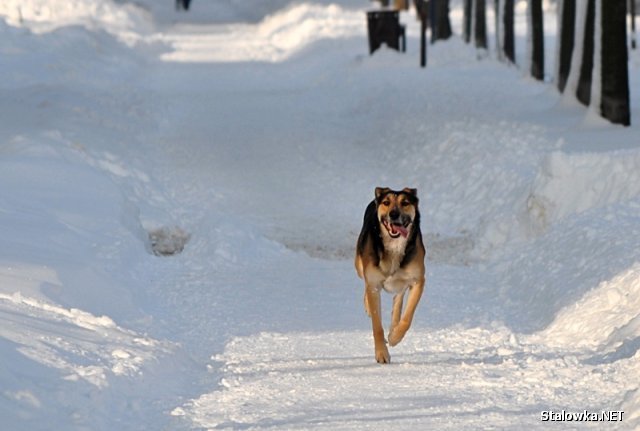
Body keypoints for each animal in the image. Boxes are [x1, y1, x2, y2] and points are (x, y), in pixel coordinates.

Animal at [356, 187, 424, 362]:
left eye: (405, 203)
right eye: (386, 203)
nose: (393, 214)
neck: (394, 247)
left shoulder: (418, 281)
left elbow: (406, 318)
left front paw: (394, 337)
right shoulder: (373, 283)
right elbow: (377, 325)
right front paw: (381, 353)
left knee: (398, 297)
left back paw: (394, 328)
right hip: (359, 265)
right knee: (365, 284)